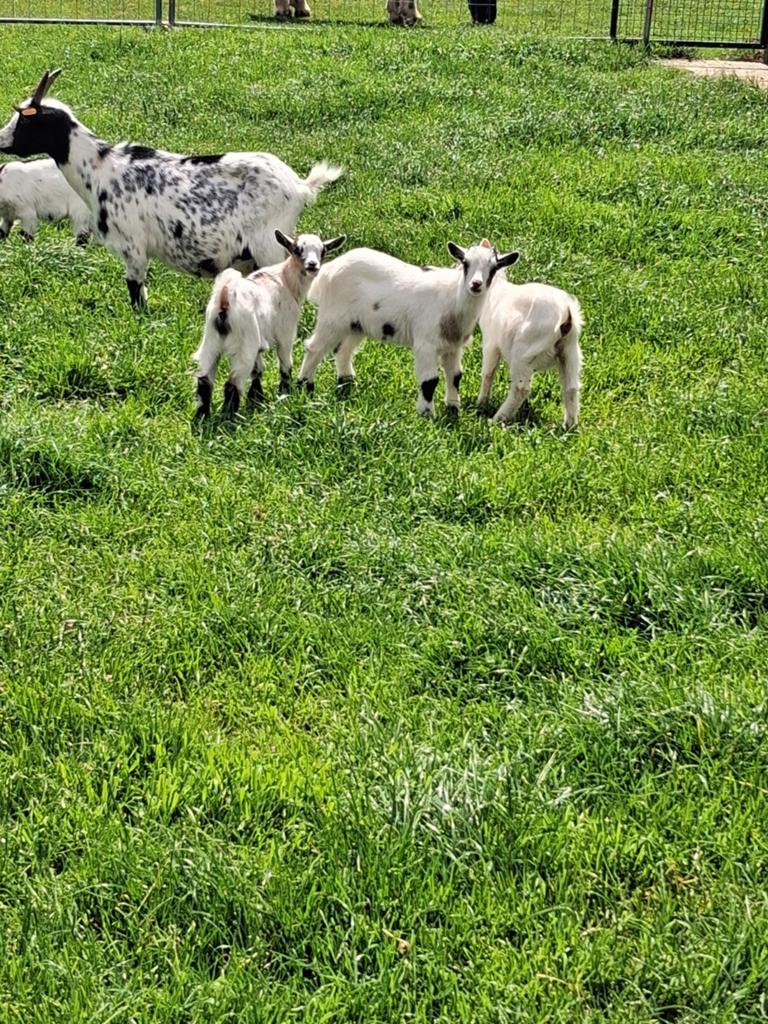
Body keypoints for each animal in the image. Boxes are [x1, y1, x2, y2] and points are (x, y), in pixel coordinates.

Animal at [0, 70, 342, 308]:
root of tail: (300, 186)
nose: (1, 141)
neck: (100, 169)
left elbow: (136, 290)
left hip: (269, 245)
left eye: (24, 120)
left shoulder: (133, 245)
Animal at [194, 230, 346, 419]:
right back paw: (229, 418)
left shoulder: (259, 343)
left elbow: (258, 370)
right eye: (297, 249)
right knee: (232, 383)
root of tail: (225, 299)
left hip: (211, 340)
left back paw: (202, 417)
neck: (285, 280)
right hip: (244, 345)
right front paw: (285, 393)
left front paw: (257, 399)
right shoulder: (286, 333)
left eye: (323, 251)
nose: (312, 265)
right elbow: (285, 364)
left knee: (204, 379)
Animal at [296, 239, 519, 416]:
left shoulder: (453, 346)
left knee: (343, 350)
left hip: (356, 324)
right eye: (465, 263)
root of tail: (330, 269)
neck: (452, 302)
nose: (475, 284)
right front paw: (426, 414)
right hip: (333, 317)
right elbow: (430, 381)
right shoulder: (426, 343)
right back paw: (304, 385)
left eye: (493, 268)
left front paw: (454, 408)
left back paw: (347, 381)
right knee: (314, 348)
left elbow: (455, 376)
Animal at [478, 275, 584, 427]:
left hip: (524, 352)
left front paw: (481, 404)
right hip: (570, 352)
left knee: (521, 389)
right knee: (571, 387)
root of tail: (566, 314)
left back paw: (497, 419)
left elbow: (488, 373)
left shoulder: (491, 343)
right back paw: (569, 425)